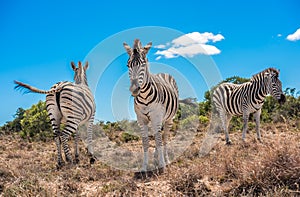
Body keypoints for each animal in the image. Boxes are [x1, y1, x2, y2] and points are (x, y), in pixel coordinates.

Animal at [123, 38, 179, 172]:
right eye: (128, 65)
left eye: (143, 64)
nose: (134, 89)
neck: (144, 95)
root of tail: (163, 73)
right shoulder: (141, 119)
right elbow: (145, 142)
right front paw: (144, 167)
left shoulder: (156, 116)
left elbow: (159, 141)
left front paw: (162, 165)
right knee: (158, 134)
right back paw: (156, 157)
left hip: (169, 119)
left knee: (164, 138)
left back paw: (166, 160)